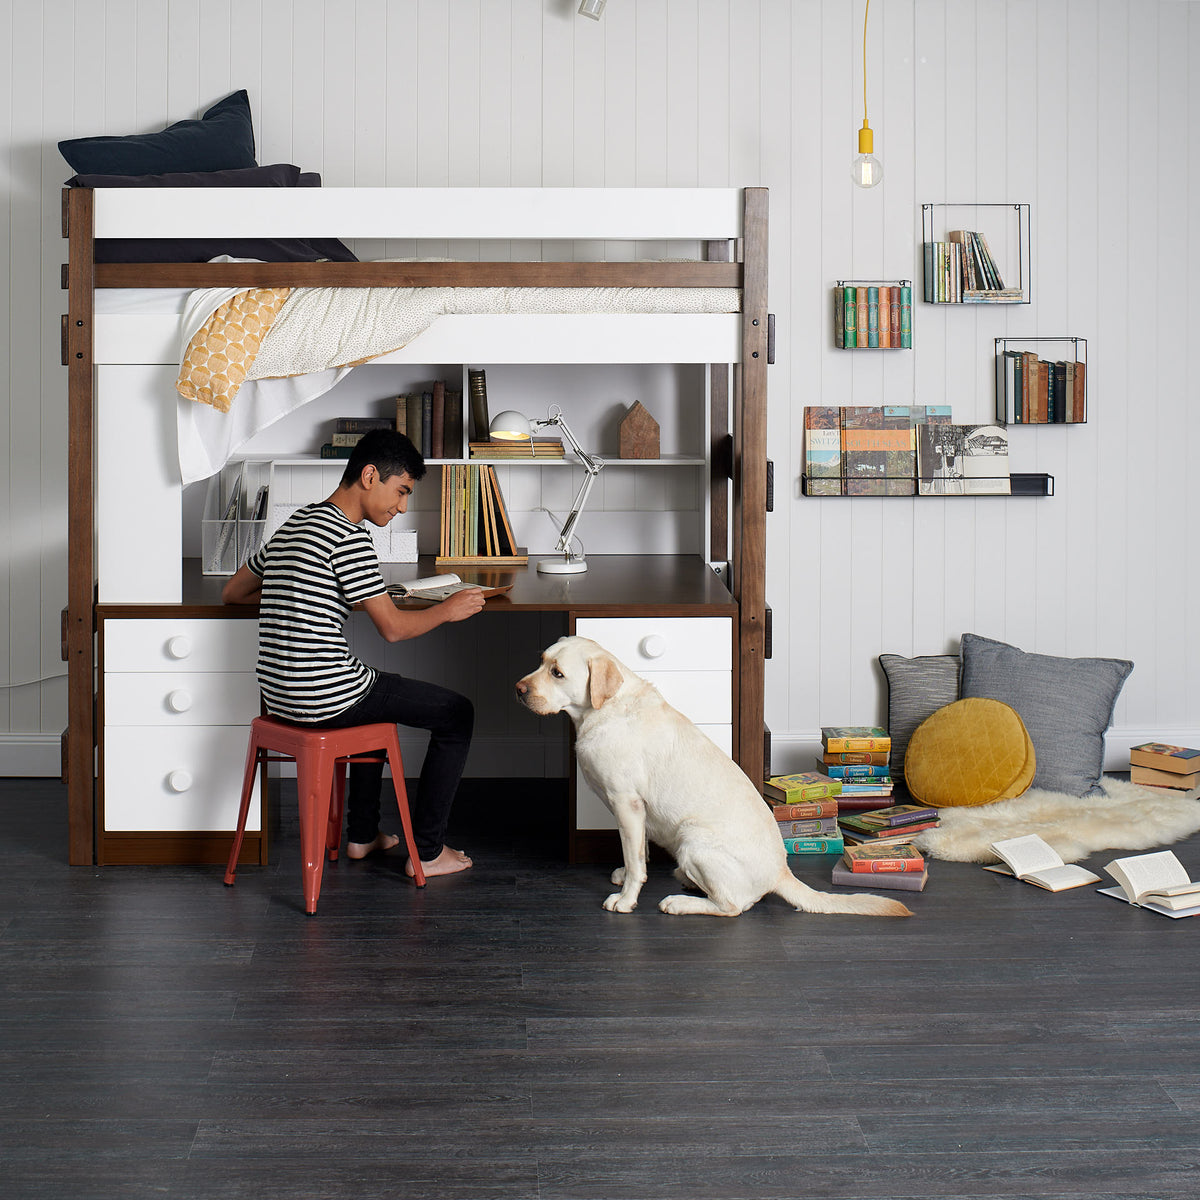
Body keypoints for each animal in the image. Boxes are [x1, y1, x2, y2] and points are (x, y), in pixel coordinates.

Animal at [516, 638, 907, 916]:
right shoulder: (636, 812)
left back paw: (680, 902)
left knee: (733, 906)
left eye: (558, 673)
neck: (603, 710)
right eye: (541, 661)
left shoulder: (626, 803)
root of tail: (781, 873)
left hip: (693, 840)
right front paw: (625, 875)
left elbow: (636, 859)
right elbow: (638, 852)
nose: (518, 689)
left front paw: (626, 898)